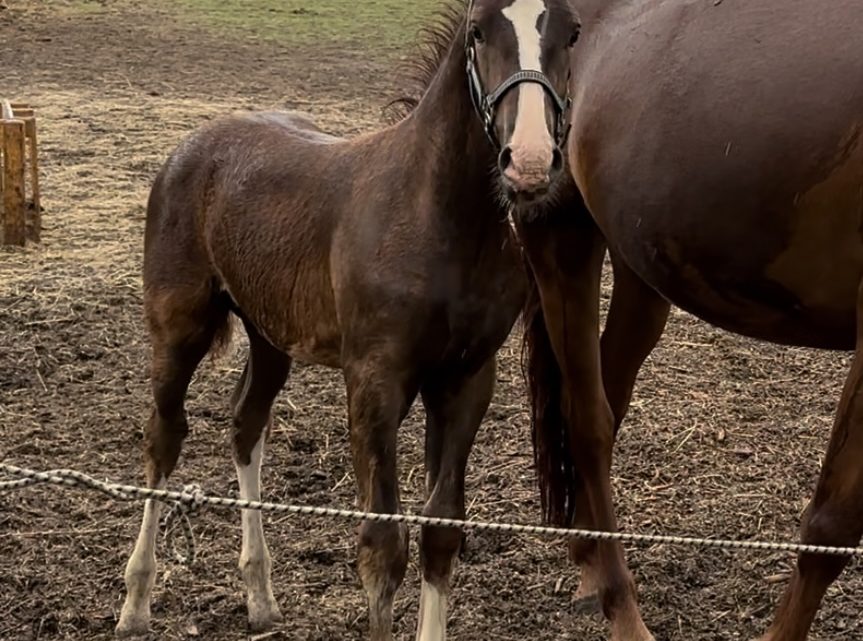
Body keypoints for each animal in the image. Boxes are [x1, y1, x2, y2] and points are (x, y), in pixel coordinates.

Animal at [116, 1, 580, 640]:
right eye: (479, 30)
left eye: (573, 32)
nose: (530, 162)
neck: (439, 217)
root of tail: (191, 147)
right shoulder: (373, 381)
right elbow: (383, 545)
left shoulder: (465, 380)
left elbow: (441, 529)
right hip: (177, 328)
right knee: (163, 436)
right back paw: (136, 603)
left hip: (270, 334)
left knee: (246, 424)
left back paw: (260, 597)